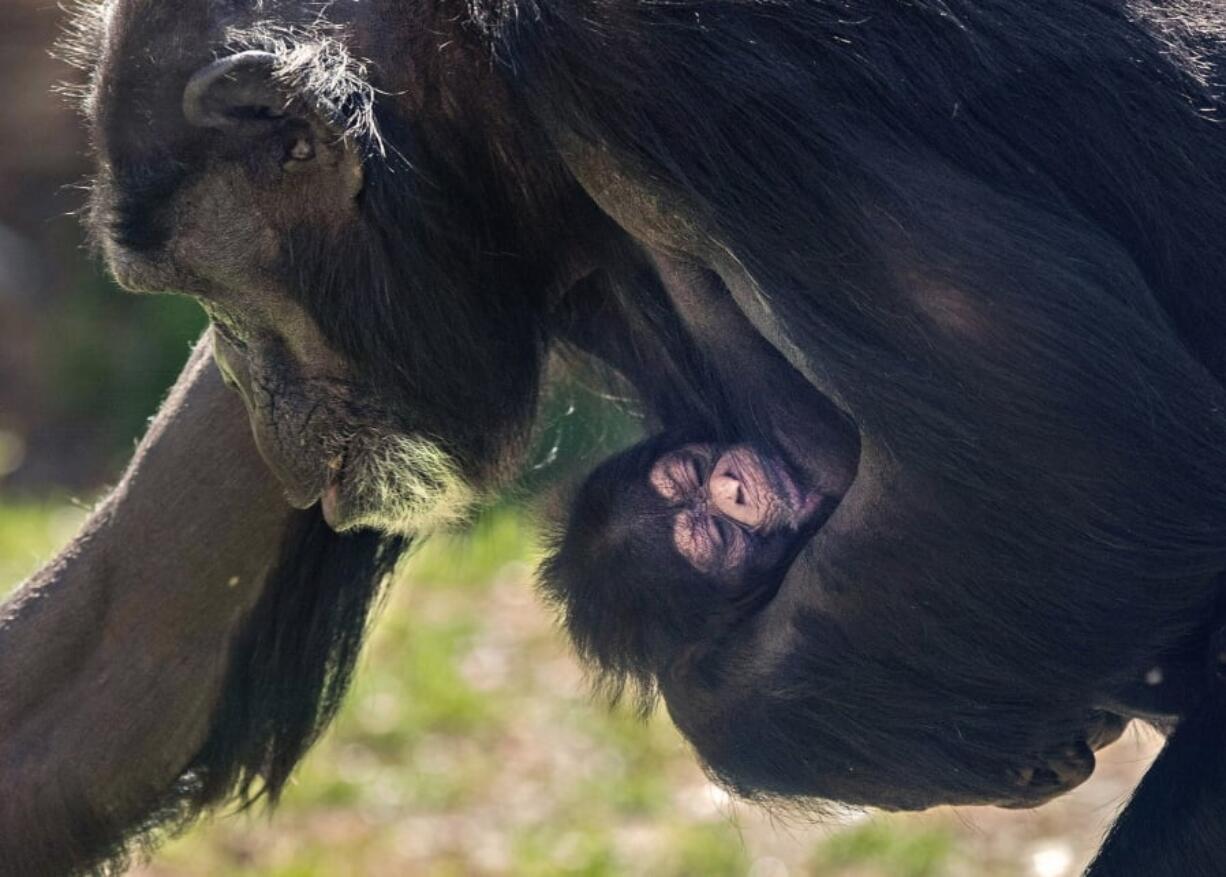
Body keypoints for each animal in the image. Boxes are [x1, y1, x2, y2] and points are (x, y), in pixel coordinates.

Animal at [2, 0, 1226, 873]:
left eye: (205, 290)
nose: (259, 401)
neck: (485, 88)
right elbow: (131, 649)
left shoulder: (649, 60)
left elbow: (1067, 453)